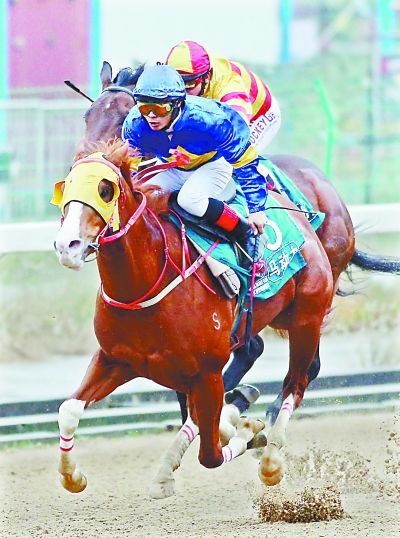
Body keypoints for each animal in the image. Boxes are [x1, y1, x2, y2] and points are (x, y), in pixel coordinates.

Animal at [52, 138, 334, 494]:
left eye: (105, 190)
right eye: (66, 187)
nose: (68, 246)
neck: (146, 283)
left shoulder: (207, 373)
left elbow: (210, 454)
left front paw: (249, 432)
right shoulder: (115, 359)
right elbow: (68, 410)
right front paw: (72, 476)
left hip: (306, 320)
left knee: (296, 382)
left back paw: (270, 458)